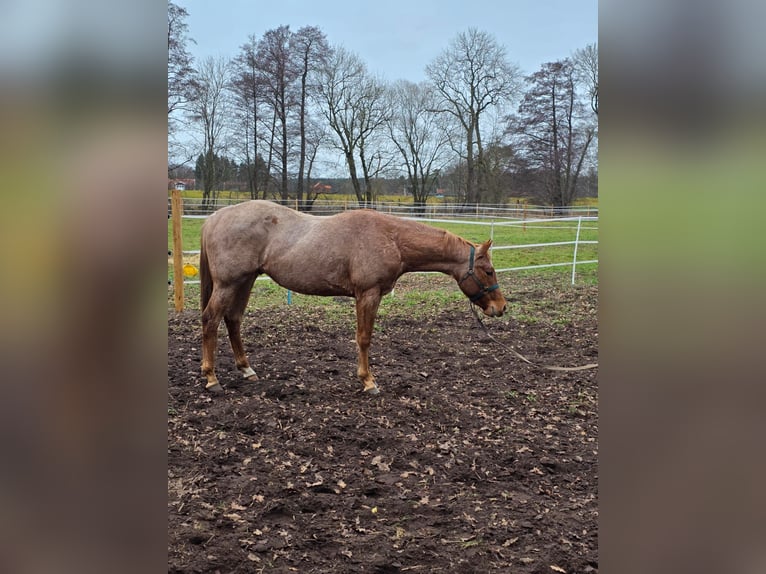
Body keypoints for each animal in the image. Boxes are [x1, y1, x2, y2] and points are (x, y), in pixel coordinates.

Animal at [199, 200, 507, 395]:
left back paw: (246, 369)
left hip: (245, 280)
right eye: (489, 271)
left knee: (233, 319)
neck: (391, 238)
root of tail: (216, 217)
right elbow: (364, 338)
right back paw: (212, 379)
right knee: (211, 320)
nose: (501, 307)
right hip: (228, 284)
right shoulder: (367, 294)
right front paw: (368, 382)